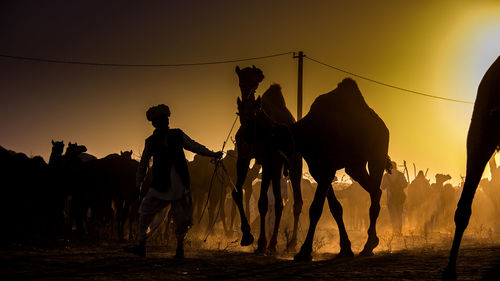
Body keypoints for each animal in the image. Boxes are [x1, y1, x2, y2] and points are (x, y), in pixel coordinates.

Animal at [232, 65, 302, 252]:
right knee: (279, 202)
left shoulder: (268, 159)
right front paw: (247, 236)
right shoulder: (243, 157)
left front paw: (262, 243)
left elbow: (263, 202)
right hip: (277, 167)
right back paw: (274, 242)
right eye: (241, 83)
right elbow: (236, 192)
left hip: (294, 163)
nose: (248, 110)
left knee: (295, 202)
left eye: (256, 83)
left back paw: (290, 244)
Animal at [270, 77, 390, 260]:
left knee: (376, 191)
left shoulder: (327, 168)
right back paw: (371, 242)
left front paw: (304, 252)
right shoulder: (318, 170)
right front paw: (345, 249)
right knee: (374, 190)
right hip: (355, 166)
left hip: (377, 155)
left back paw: (368, 245)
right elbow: (335, 208)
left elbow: (316, 208)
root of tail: (383, 126)